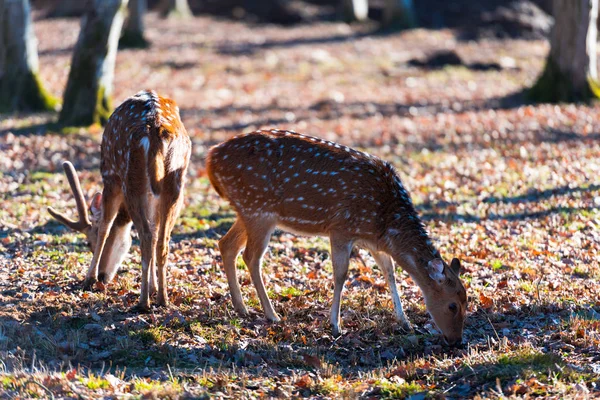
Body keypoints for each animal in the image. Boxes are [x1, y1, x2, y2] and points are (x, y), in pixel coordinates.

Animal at [48, 90, 190, 310]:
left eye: (89, 243)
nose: (102, 276)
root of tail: (156, 132)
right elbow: (155, 232)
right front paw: (153, 287)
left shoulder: (110, 176)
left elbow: (105, 227)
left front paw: (88, 279)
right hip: (175, 183)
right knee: (161, 239)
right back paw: (162, 299)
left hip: (129, 180)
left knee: (146, 236)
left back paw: (143, 302)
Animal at [206, 130, 468, 346]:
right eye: (452, 305)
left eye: (467, 301)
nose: (456, 341)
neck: (385, 221)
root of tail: (211, 158)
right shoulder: (342, 228)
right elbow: (341, 274)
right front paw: (335, 325)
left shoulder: (374, 242)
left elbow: (389, 273)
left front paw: (405, 322)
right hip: (258, 210)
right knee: (251, 257)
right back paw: (272, 314)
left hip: (247, 211)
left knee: (227, 245)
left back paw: (241, 308)